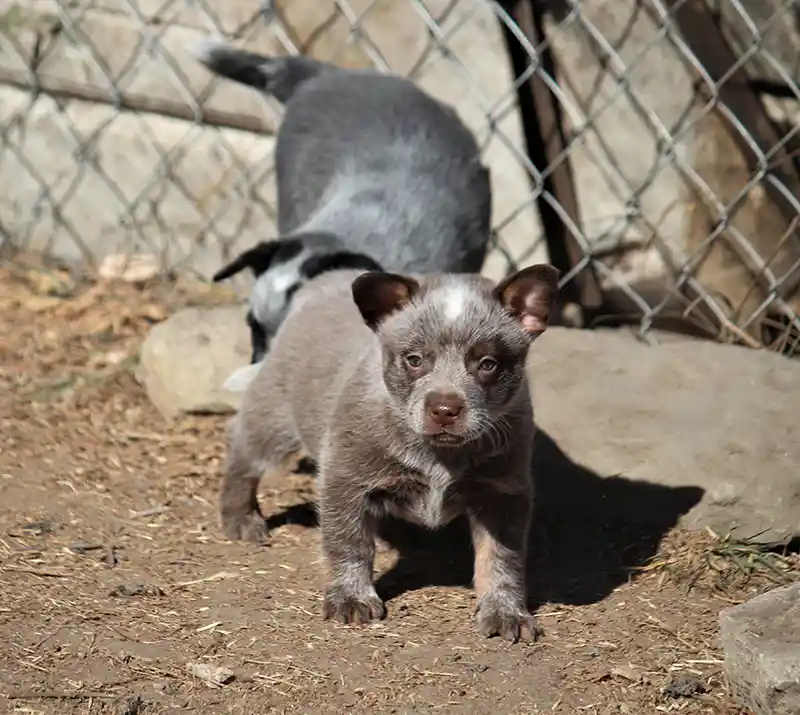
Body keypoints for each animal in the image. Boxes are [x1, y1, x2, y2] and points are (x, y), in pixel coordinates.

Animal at [219, 264, 556, 644]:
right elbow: (349, 543)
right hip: (273, 418)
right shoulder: (345, 479)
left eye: (487, 364)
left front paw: (504, 610)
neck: (439, 454)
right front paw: (351, 597)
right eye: (414, 360)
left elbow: (501, 558)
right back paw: (240, 518)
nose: (444, 408)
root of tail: (325, 279)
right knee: (243, 456)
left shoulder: (502, 492)